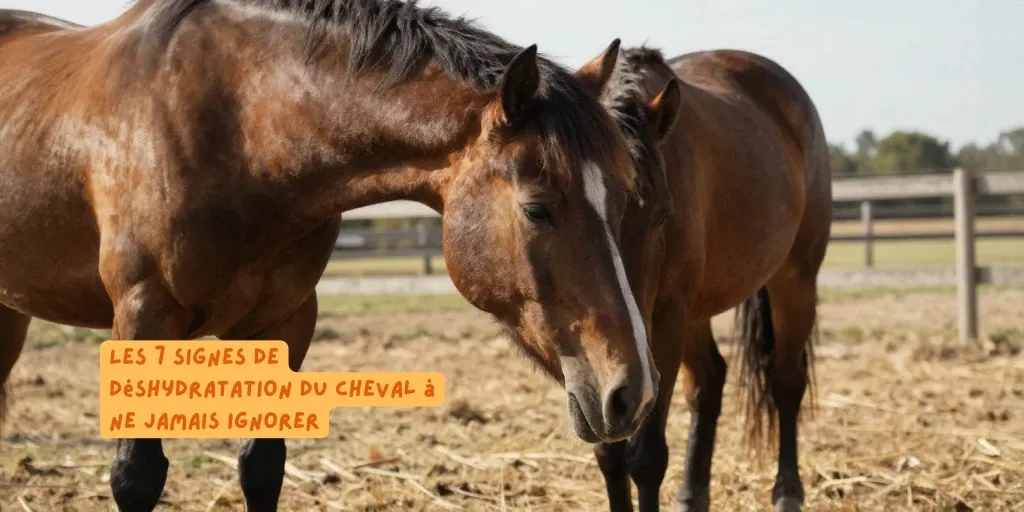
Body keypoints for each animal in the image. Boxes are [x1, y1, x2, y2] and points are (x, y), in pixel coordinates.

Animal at [0, 1, 665, 509]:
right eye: (537, 208)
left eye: (624, 200)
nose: (632, 392)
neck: (238, 131)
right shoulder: (143, 319)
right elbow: (137, 477)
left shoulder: (285, 323)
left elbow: (262, 468)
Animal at [571, 44, 833, 512]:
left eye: (662, 213)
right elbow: (609, 452)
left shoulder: (665, 323)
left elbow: (646, 458)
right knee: (710, 383)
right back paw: (693, 495)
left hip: (795, 281)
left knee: (786, 381)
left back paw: (787, 491)